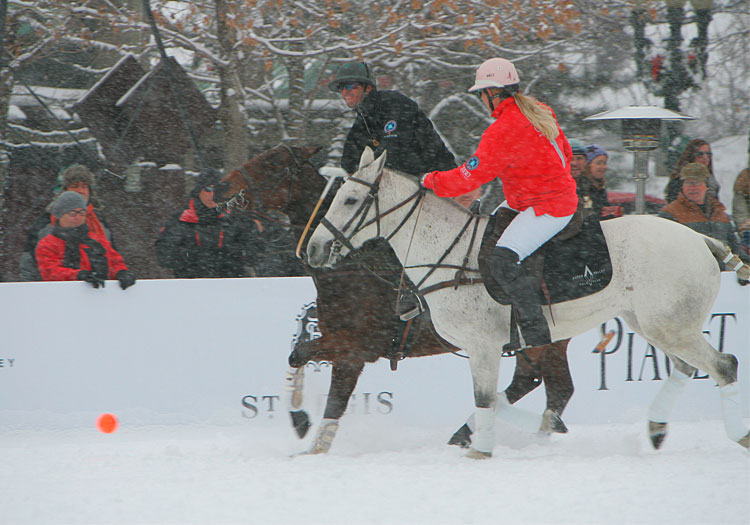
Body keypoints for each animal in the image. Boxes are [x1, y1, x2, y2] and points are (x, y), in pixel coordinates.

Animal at [217, 145, 576, 452]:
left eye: (272, 162)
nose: (220, 187)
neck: (353, 268)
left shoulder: (356, 347)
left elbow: (302, 357)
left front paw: (301, 420)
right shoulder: (348, 352)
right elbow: (321, 387)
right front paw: (310, 439)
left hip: (542, 338)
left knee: (546, 386)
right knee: (545, 386)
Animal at [306, 148, 750, 458]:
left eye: (350, 200)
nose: (314, 248)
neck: (448, 253)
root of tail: (703, 239)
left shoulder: (482, 345)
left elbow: (485, 398)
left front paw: (481, 450)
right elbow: (496, 398)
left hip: (669, 325)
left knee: (723, 365)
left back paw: (738, 434)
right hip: (652, 323)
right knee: (684, 367)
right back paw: (656, 428)